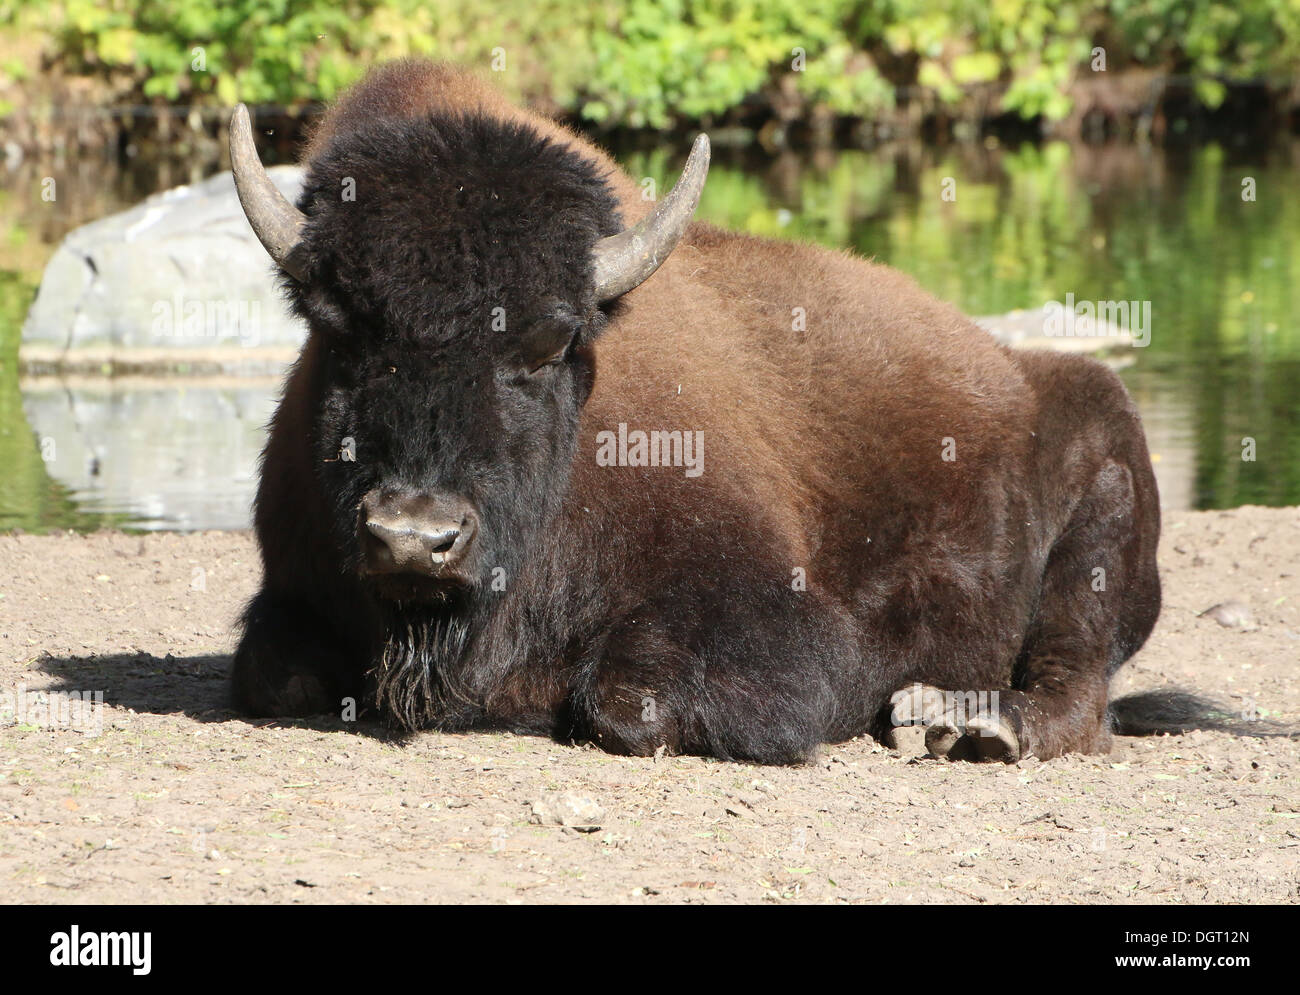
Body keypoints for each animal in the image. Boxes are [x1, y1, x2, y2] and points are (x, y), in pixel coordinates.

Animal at [226, 58, 1206, 764]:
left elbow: (627, 700)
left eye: (547, 343)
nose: (413, 536)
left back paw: (968, 723)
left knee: (1079, 691)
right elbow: (275, 678)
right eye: (338, 329)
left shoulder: (773, 616)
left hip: (1105, 509)